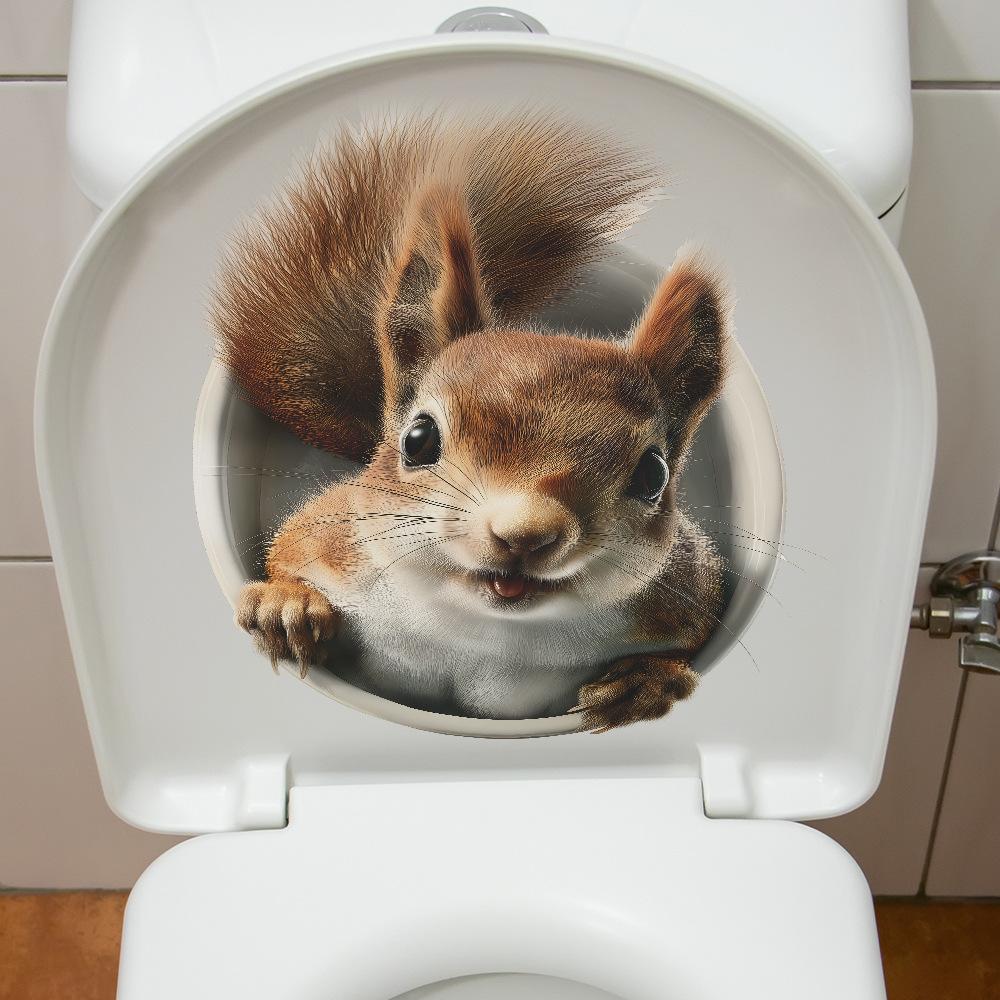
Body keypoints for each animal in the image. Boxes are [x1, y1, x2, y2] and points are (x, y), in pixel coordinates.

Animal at [210, 112, 730, 733]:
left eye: (654, 475)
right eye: (418, 439)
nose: (525, 534)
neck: (486, 631)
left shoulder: (684, 592)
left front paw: (650, 680)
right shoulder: (334, 539)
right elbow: (284, 555)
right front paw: (284, 605)